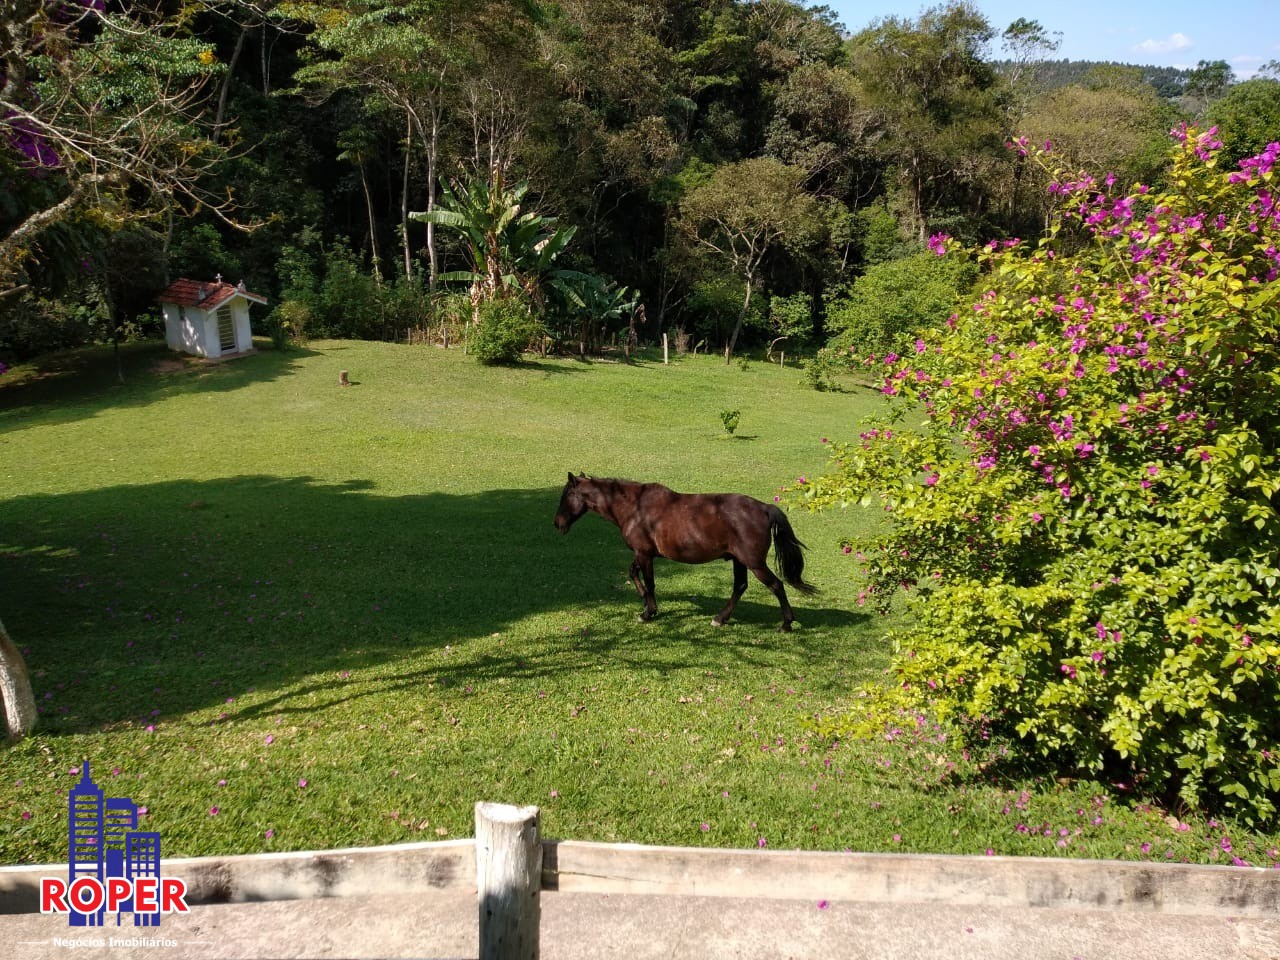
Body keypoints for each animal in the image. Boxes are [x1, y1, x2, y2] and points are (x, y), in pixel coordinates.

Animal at [552, 473, 814, 632]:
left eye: (566, 495)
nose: (557, 524)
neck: (635, 508)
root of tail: (764, 508)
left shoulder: (644, 554)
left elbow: (649, 582)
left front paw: (648, 612)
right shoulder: (642, 554)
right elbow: (633, 574)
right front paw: (645, 604)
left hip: (754, 563)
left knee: (776, 585)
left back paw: (786, 624)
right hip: (739, 561)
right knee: (740, 586)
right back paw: (720, 618)